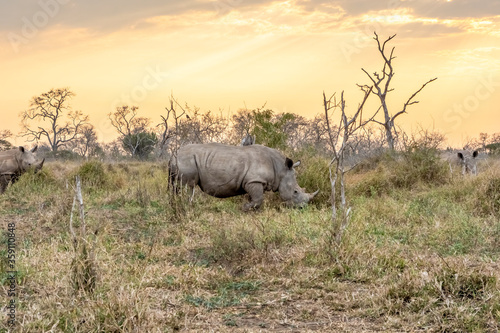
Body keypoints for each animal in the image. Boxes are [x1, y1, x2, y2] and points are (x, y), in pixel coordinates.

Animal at [168, 143, 316, 210]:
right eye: (295, 192)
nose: (303, 207)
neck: (280, 168)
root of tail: (173, 156)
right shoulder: (254, 180)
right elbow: (258, 199)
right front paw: (244, 208)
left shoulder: (253, 182)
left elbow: (255, 198)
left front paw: (251, 209)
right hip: (186, 161)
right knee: (187, 187)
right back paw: (185, 208)